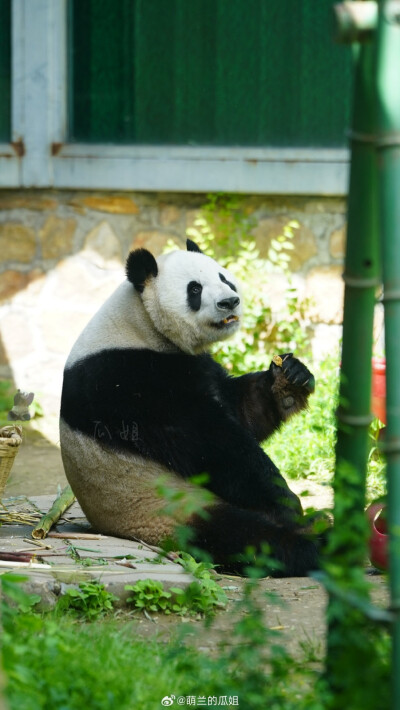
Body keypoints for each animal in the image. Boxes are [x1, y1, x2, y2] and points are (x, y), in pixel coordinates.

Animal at [59, 241, 322, 580]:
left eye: (224, 278)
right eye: (194, 289)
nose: (230, 301)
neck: (141, 324)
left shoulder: (197, 364)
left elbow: (242, 411)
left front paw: (290, 378)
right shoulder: (127, 379)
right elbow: (211, 442)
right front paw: (286, 501)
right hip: (164, 507)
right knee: (242, 536)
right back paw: (317, 543)